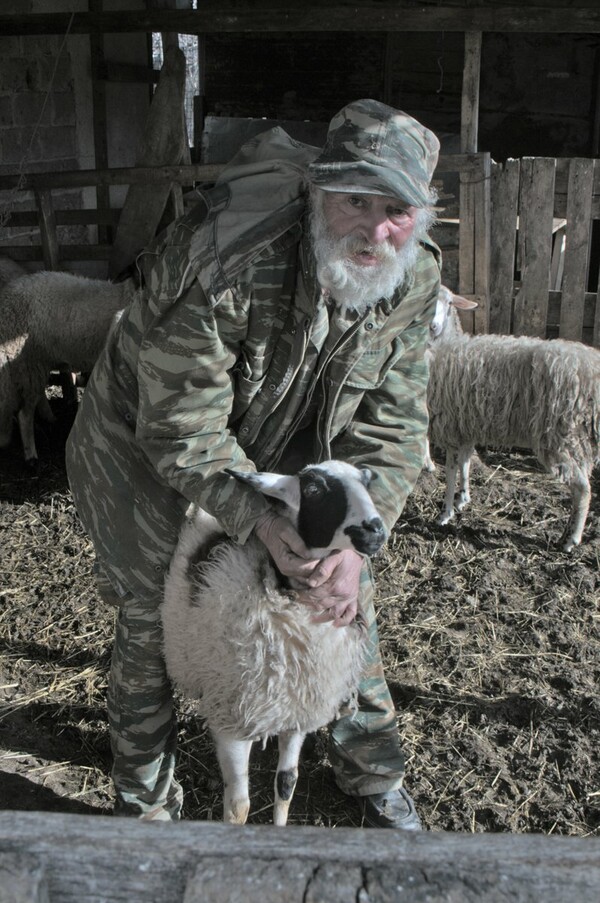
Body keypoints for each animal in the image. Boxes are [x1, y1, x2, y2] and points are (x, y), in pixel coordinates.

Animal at [161, 462, 384, 828]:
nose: (376, 531)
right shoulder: (232, 719)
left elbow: (286, 784)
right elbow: (239, 807)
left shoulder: (297, 712)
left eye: (367, 482)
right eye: (313, 490)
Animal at [426, 286, 600, 552]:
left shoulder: (452, 428)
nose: (432, 326)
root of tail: (592, 370)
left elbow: (451, 473)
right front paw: (462, 499)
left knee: (582, 489)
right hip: (577, 439)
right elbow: (465, 465)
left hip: (560, 435)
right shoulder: (466, 427)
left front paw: (445, 513)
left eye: (449, 303)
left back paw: (571, 539)